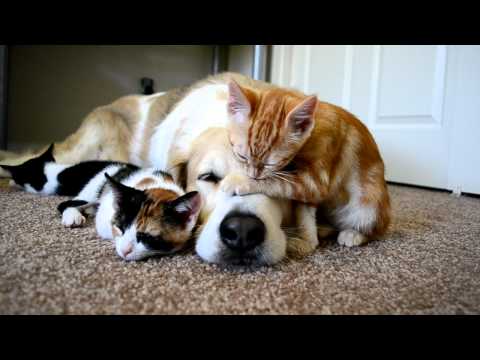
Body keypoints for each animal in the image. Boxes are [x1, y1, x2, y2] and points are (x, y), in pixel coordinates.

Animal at [0, 144, 202, 262]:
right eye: (120, 228)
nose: (125, 251)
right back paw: (73, 215)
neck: (156, 184)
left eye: (146, 237)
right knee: (66, 203)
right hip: (92, 189)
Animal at [223, 80, 392, 246]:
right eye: (242, 156)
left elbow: (278, 182)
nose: (254, 175)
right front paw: (307, 238)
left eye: (271, 163)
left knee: (376, 230)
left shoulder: (316, 182)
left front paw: (239, 180)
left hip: (369, 206)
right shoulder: (308, 189)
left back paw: (354, 234)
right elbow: (304, 209)